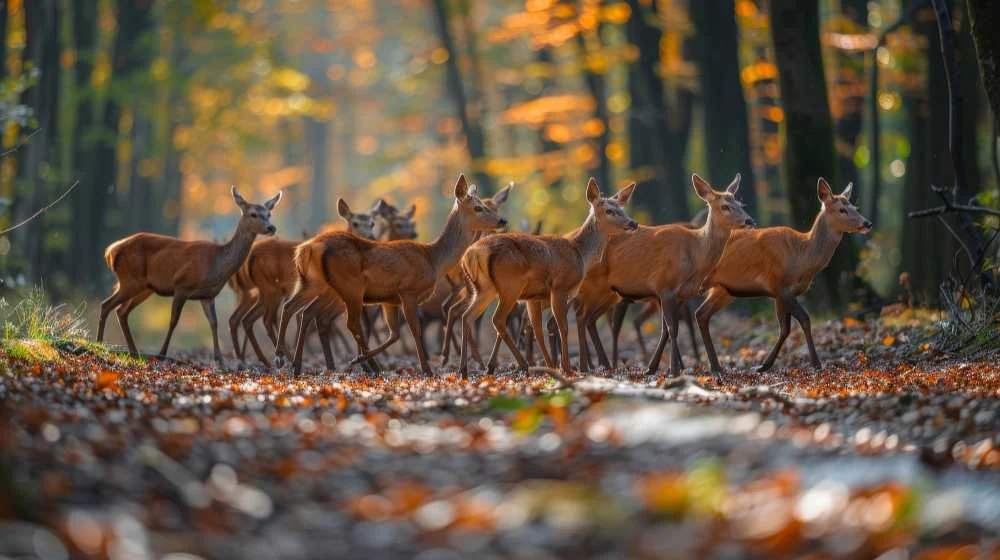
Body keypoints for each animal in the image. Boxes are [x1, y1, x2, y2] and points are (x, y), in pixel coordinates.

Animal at [97, 187, 282, 365]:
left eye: (269, 214)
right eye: (253, 214)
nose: (271, 227)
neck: (217, 266)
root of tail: (112, 251)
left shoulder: (208, 296)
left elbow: (214, 323)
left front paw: (220, 360)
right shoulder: (182, 286)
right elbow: (173, 321)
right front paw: (162, 354)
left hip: (144, 287)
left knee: (121, 311)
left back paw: (134, 352)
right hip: (130, 279)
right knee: (106, 305)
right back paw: (99, 344)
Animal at [228, 199, 376, 368]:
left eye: (372, 223)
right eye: (355, 223)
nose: (370, 236)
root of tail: (250, 256)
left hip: (254, 293)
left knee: (241, 319)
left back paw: (251, 360)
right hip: (271, 289)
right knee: (265, 319)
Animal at [288, 174, 507, 376]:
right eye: (478, 207)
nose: (502, 220)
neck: (434, 260)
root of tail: (305, 248)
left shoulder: (389, 299)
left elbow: (394, 334)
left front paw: (360, 358)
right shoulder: (408, 291)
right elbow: (414, 329)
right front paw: (427, 369)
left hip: (325, 287)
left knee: (307, 312)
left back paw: (300, 365)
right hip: (350, 287)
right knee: (349, 323)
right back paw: (367, 366)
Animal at [457, 178, 638, 378]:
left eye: (623, 208)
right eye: (609, 210)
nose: (633, 223)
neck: (581, 255)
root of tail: (471, 254)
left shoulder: (533, 297)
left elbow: (538, 330)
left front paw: (551, 366)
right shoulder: (559, 288)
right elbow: (562, 328)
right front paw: (566, 367)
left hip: (484, 289)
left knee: (466, 316)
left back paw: (464, 369)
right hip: (510, 285)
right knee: (497, 319)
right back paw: (522, 365)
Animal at [697, 178, 871, 373]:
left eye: (855, 207)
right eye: (842, 209)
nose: (867, 223)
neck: (802, 258)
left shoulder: (782, 293)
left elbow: (785, 329)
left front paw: (763, 365)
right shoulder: (780, 285)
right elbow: (804, 319)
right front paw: (816, 363)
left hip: (724, 290)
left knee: (701, 314)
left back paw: (715, 366)